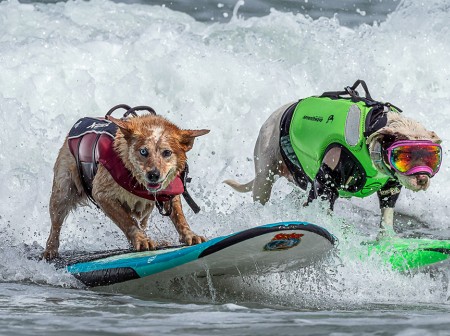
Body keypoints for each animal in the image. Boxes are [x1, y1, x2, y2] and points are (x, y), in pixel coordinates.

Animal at [44, 107, 209, 260]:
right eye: (143, 151)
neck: (135, 178)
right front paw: (141, 239)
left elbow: (179, 216)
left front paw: (189, 234)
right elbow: (126, 220)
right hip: (62, 192)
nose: (153, 175)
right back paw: (50, 250)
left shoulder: (171, 192)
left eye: (167, 153)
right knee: (56, 224)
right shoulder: (102, 194)